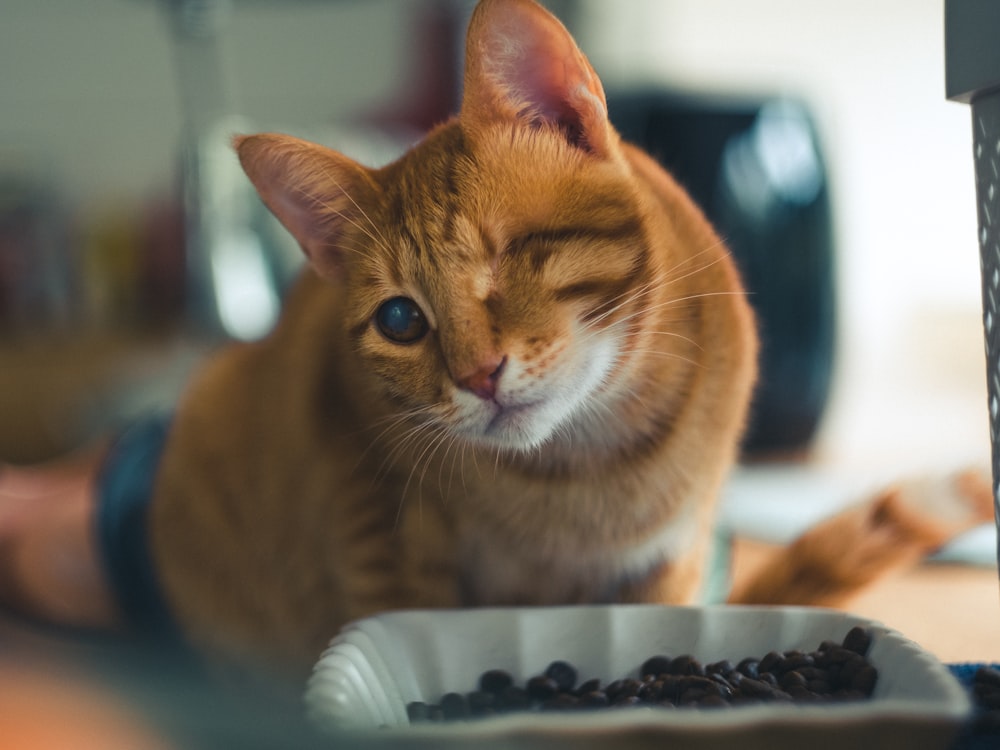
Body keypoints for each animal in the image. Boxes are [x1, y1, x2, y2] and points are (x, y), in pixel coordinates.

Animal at [0, 0, 988, 688]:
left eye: (513, 254)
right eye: (401, 320)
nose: (478, 376)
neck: (585, 472)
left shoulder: (668, 565)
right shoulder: (376, 535)